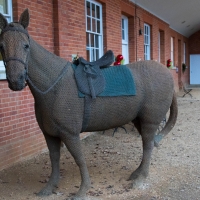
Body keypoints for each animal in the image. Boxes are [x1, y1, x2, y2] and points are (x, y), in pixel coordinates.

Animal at [0, 9, 178, 200]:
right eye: (1, 46)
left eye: (26, 46)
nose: (16, 81)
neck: (54, 84)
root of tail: (166, 72)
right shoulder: (50, 135)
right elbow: (54, 159)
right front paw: (49, 188)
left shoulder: (69, 134)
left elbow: (79, 159)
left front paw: (83, 189)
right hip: (139, 121)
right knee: (147, 145)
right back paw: (136, 174)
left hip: (150, 121)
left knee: (149, 145)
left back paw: (140, 179)